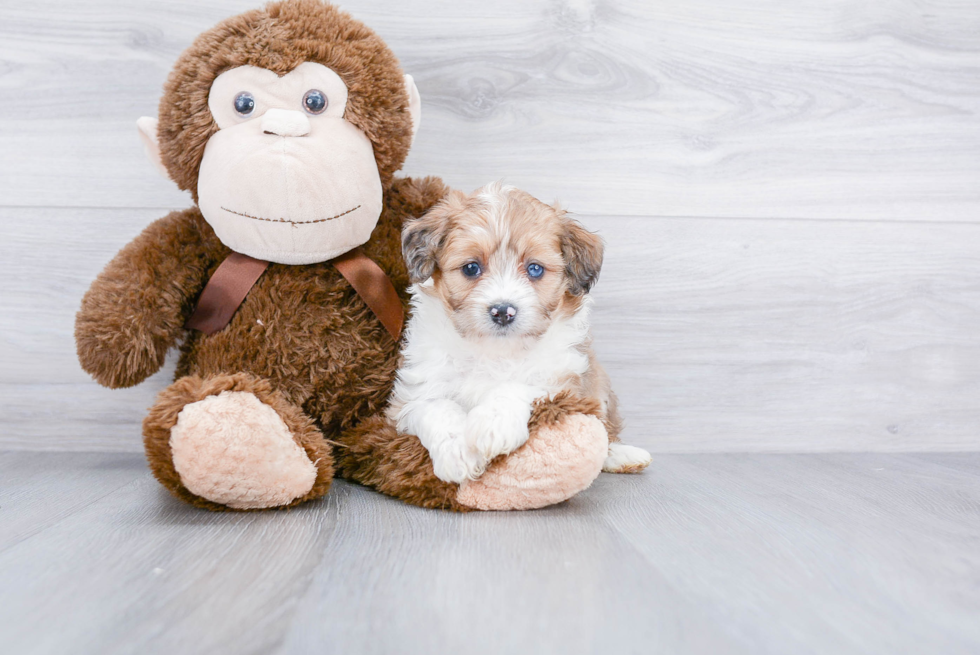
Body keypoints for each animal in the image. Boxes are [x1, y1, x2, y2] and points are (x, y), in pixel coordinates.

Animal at [388, 182, 652, 484]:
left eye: (534, 269)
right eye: (471, 268)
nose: (503, 311)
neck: (493, 350)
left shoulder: (564, 381)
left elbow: (519, 385)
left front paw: (493, 423)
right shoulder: (410, 395)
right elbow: (434, 406)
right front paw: (457, 451)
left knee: (605, 429)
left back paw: (622, 454)